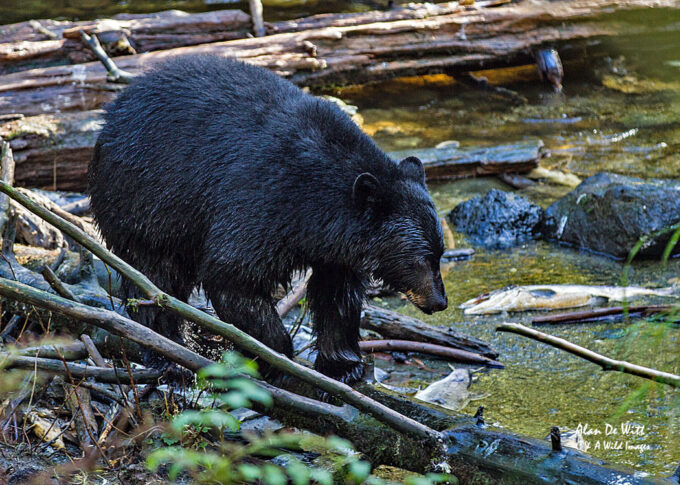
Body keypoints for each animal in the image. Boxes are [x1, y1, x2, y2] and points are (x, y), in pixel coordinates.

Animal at [88, 55, 448, 384]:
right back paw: (167, 351)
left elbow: (338, 298)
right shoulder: (261, 199)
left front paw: (343, 366)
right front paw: (277, 358)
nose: (440, 302)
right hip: (144, 203)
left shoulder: (336, 250)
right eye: (419, 259)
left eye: (440, 254)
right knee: (153, 276)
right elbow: (233, 275)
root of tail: (110, 116)